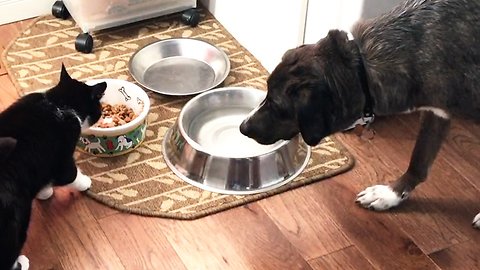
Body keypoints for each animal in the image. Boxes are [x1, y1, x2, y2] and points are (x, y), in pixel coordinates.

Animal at [0, 63, 106, 270]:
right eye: (98, 105)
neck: (58, 104)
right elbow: (71, 175)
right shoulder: (62, 160)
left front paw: (44, 192)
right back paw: (22, 262)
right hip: (14, 220)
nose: (102, 111)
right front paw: (85, 183)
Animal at [240, 0, 480, 228]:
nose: (243, 127)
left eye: (277, 105)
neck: (362, 66)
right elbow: (418, 162)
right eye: (266, 92)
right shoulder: (437, 112)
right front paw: (390, 195)